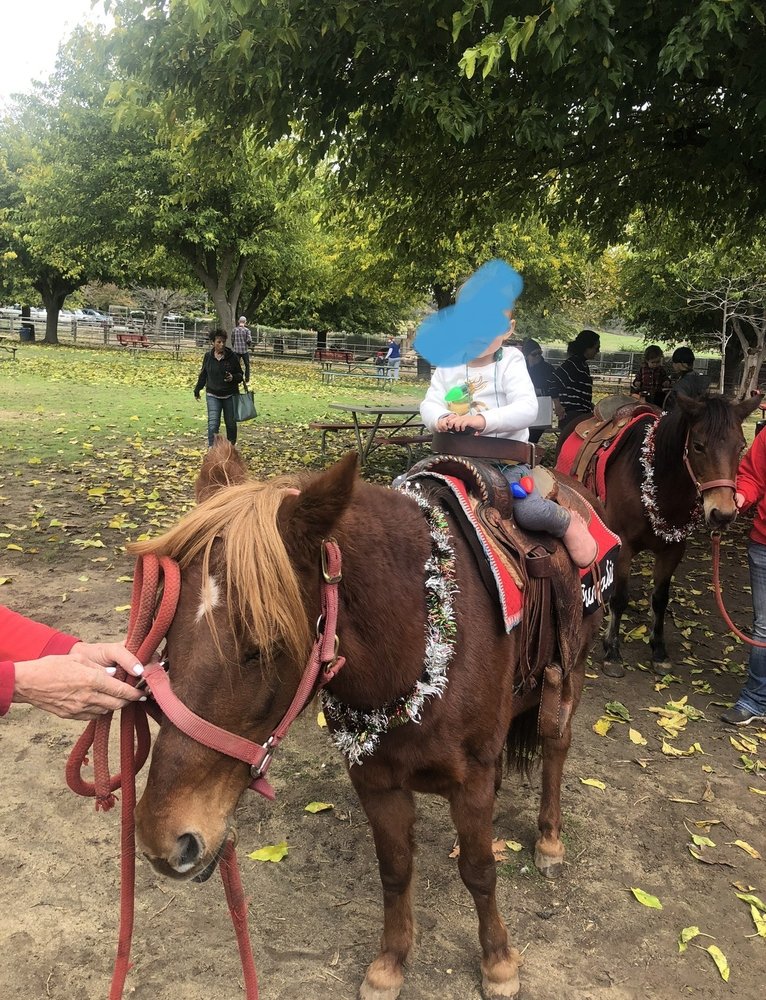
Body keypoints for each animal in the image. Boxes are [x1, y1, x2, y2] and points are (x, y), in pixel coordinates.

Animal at [129, 440, 604, 1000]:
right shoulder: (374, 778)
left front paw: (498, 962)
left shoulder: (469, 780)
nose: (165, 842)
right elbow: (395, 870)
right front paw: (390, 963)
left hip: (571, 673)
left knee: (556, 746)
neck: (416, 641)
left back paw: (550, 838)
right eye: (167, 634)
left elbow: (480, 870)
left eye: (263, 647)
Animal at [557, 393, 761, 676]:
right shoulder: (624, 546)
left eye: (741, 446)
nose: (723, 514)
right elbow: (620, 598)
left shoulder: (673, 549)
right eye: (698, 445)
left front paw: (659, 650)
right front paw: (612, 651)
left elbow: (660, 598)